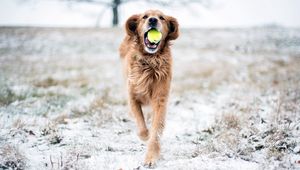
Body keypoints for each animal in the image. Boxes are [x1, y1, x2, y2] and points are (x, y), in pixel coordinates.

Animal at [119, 9, 178, 167]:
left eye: (162, 18)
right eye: (144, 17)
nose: (152, 20)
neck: (150, 61)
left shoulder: (160, 100)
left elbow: (156, 129)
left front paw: (151, 157)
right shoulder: (132, 98)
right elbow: (141, 124)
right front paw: (145, 135)